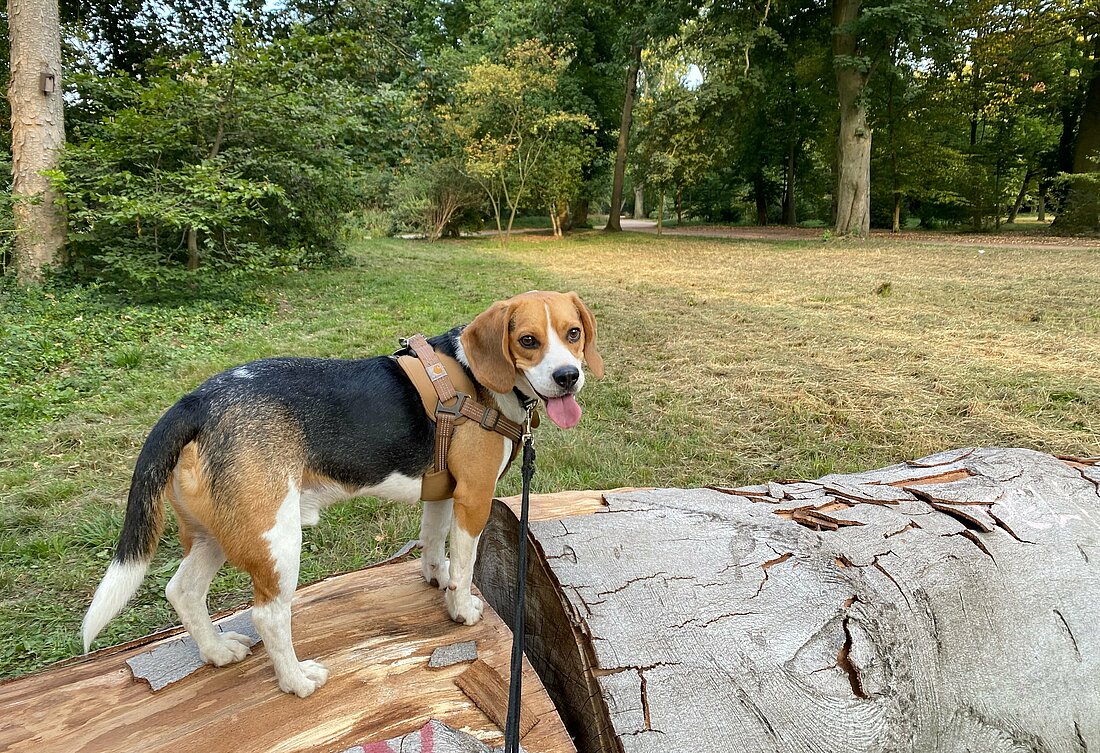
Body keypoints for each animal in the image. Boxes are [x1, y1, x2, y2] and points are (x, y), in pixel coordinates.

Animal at [79, 290, 602, 694]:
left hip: (221, 534)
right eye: (527, 341)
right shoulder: (472, 497)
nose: (568, 377)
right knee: (268, 616)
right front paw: (461, 609)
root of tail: (195, 402)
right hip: (276, 539)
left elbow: (435, 544)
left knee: (183, 590)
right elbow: (465, 565)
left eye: (573, 333)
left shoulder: (441, 493)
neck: (477, 376)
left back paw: (216, 651)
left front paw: (435, 577)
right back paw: (296, 681)